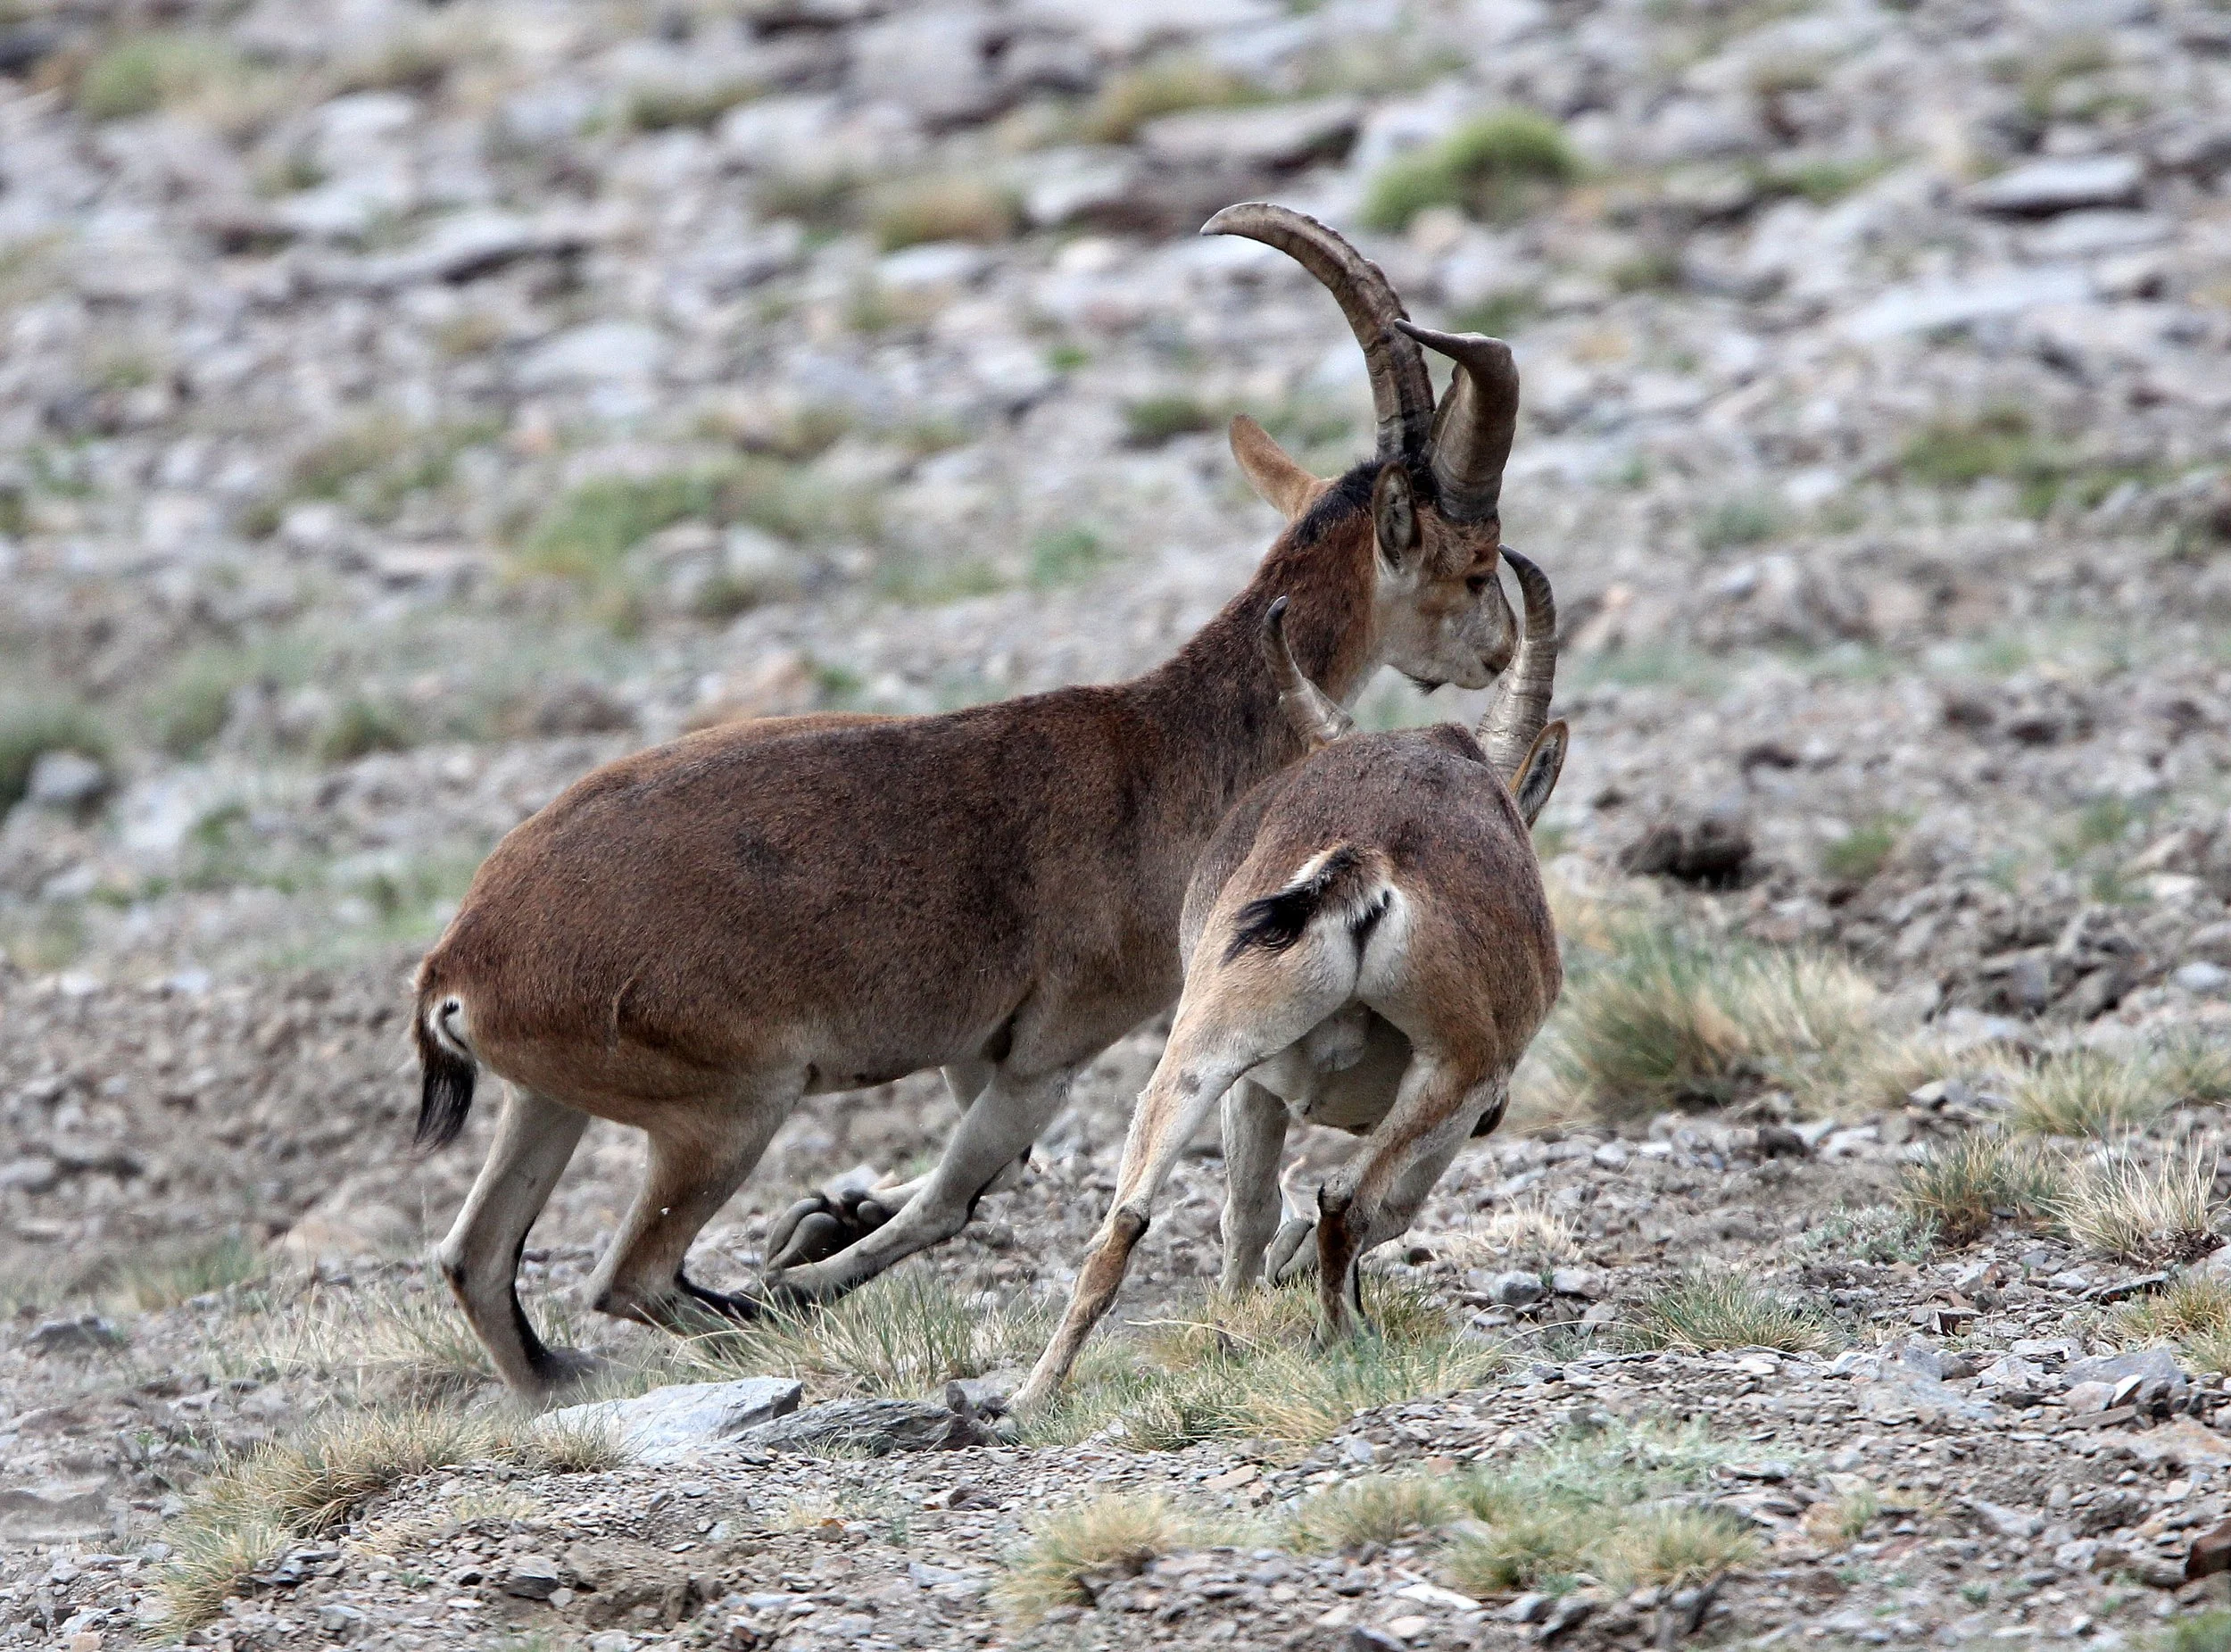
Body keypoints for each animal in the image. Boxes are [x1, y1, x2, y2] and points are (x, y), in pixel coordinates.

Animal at [1013, 551, 1565, 1409]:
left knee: (1126, 1221)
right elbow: (1388, 1210)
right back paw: (1341, 1333)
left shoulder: (1255, 1084)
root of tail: (1366, 858)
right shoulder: (1468, 1102)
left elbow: (1249, 1212)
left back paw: (1031, 1396)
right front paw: (1288, 1278)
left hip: (1208, 1044)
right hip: (1459, 1066)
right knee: (1349, 1200)